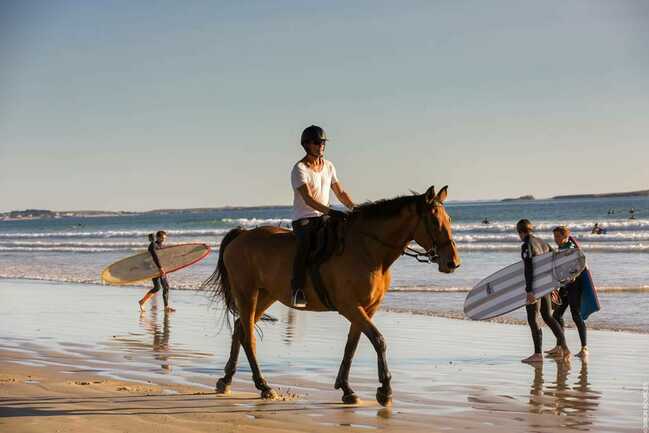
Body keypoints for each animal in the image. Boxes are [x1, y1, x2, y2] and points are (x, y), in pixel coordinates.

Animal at [202, 185, 460, 404]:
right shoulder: (350, 307)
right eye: (434, 221)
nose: (453, 263)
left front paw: (346, 389)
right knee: (248, 336)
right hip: (247, 293)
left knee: (239, 328)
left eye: (449, 219)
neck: (368, 251)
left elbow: (351, 346)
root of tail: (241, 235)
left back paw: (226, 381)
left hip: (266, 295)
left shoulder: (366, 309)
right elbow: (378, 340)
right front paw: (385, 391)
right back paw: (263, 386)